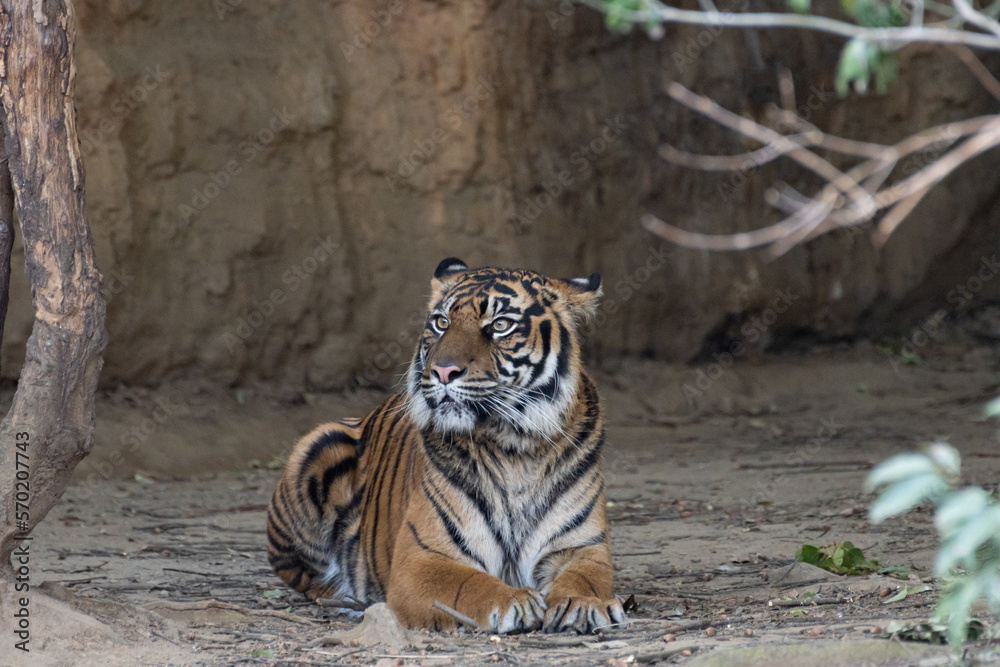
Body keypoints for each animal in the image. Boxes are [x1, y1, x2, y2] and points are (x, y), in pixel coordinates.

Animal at [266, 258, 624, 636]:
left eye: (500, 325)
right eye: (441, 322)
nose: (442, 371)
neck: (514, 445)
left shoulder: (582, 548)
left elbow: (586, 578)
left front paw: (584, 604)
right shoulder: (420, 559)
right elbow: (470, 584)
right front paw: (516, 600)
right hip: (319, 442)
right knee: (307, 578)